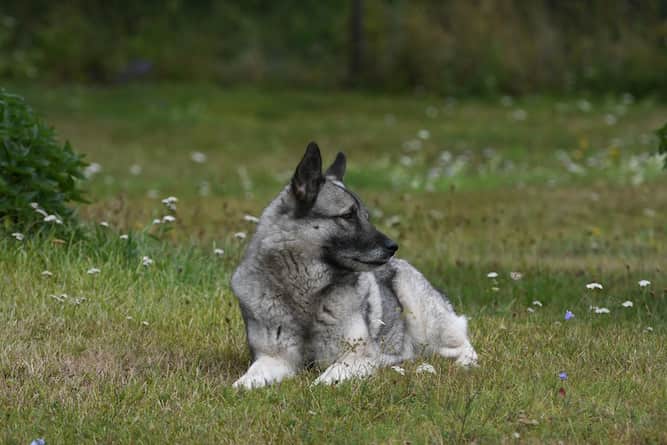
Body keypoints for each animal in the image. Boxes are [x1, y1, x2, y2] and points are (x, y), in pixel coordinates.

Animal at [232, 143, 478, 388]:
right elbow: (247, 380)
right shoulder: (274, 358)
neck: (306, 294)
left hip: (420, 313)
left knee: (461, 346)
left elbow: (326, 378)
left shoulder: (356, 357)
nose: (393, 246)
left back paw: (461, 364)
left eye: (366, 216)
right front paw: (240, 387)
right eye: (348, 215)